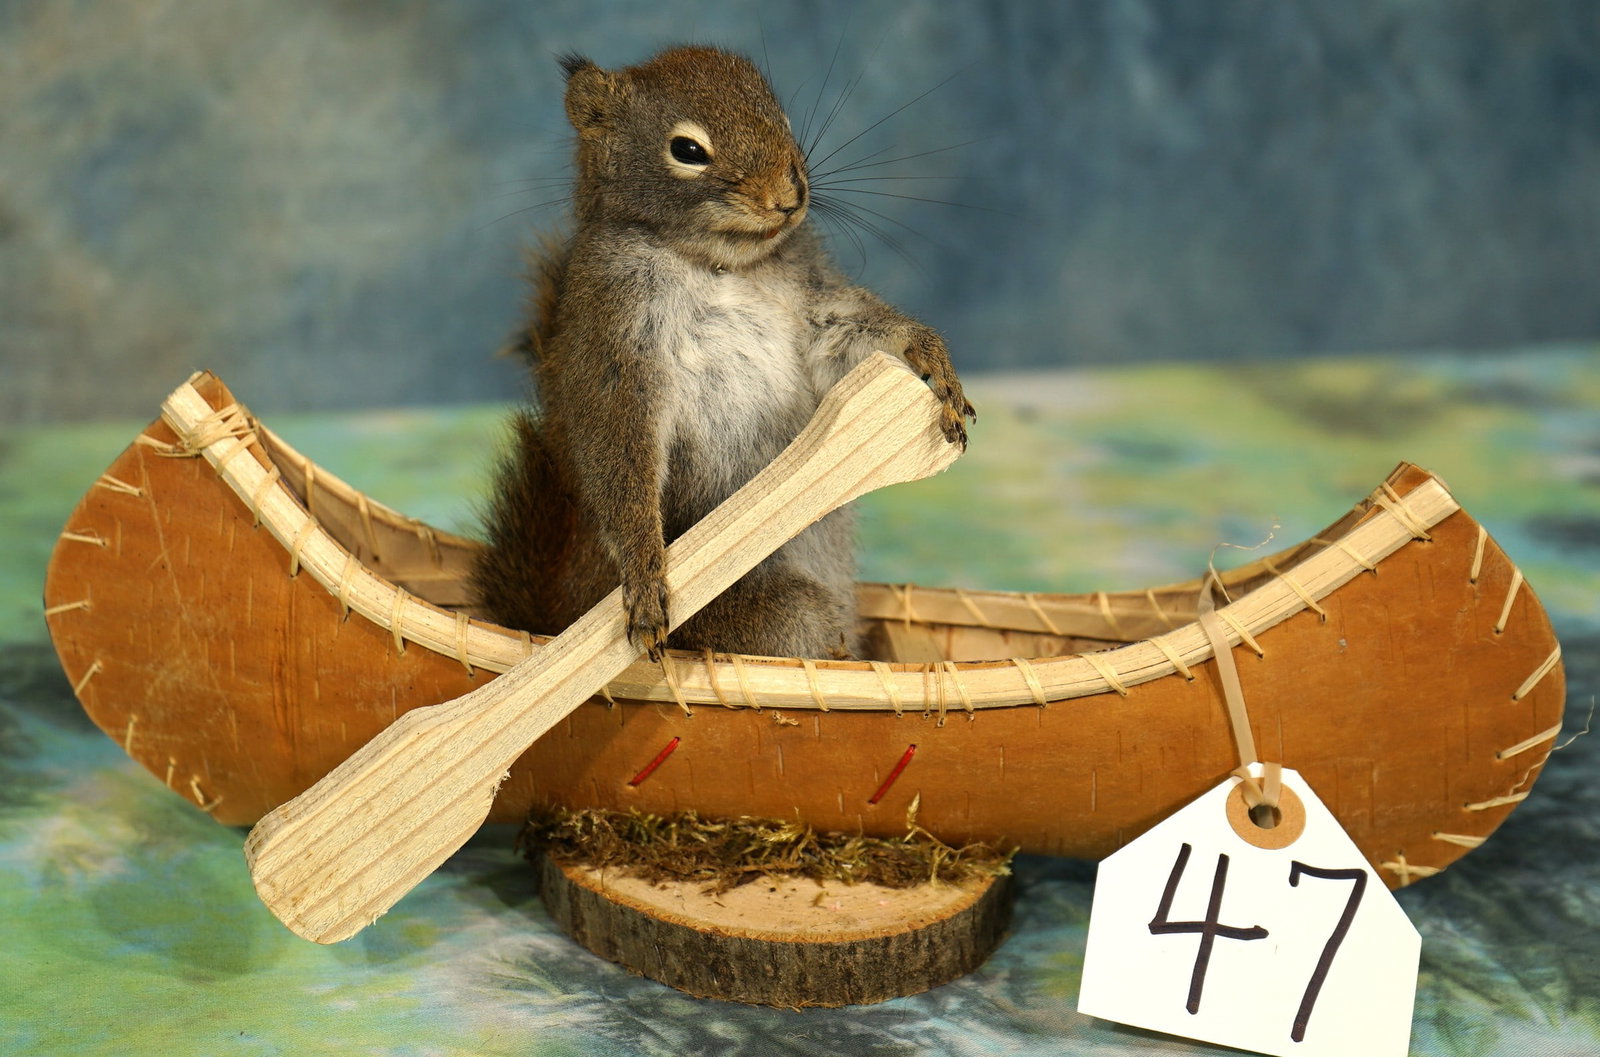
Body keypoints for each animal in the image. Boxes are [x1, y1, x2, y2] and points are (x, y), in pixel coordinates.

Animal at [472, 45, 974, 661]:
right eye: (687, 151)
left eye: (783, 119)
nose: (789, 198)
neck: (718, 264)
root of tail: (557, 614)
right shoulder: (611, 337)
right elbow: (621, 454)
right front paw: (644, 576)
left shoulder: (811, 302)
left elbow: (848, 336)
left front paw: (932, 360)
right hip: (779, 616)